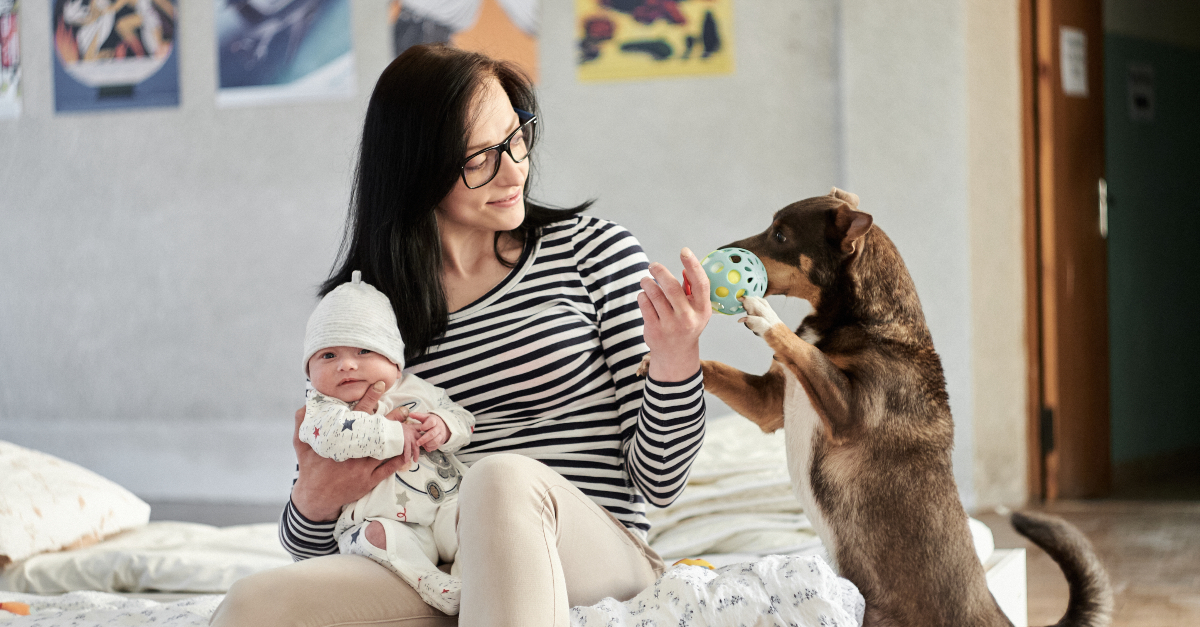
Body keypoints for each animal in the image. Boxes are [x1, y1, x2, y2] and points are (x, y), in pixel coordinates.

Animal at [700, 188, 1108, 624]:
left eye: (779, 235)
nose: (722, 250)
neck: (864, 321)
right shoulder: (769, 405)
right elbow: (719, 368)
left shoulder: (848, 413)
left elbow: (804, 351)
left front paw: (765, 315)